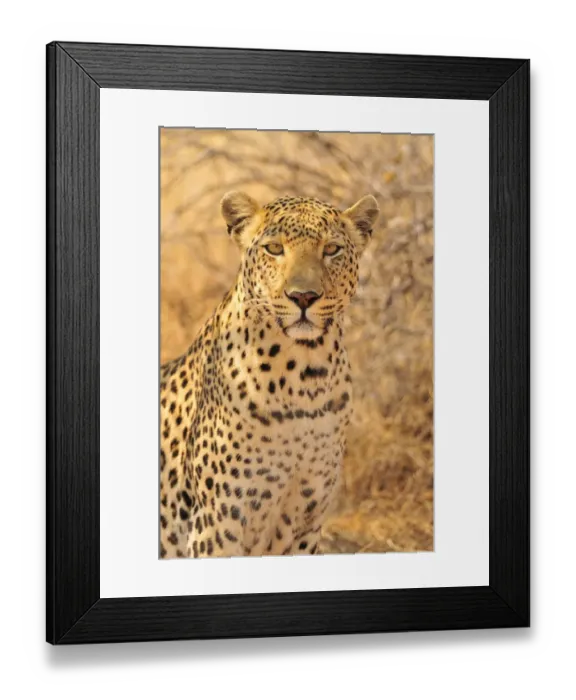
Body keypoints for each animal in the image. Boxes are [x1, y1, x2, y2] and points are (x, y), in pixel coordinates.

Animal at [160, 191, 379, 559]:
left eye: (331, 249)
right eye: (274, 249)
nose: (303, 297)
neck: (305, 375)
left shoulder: (306, 524)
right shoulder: (217, 524)